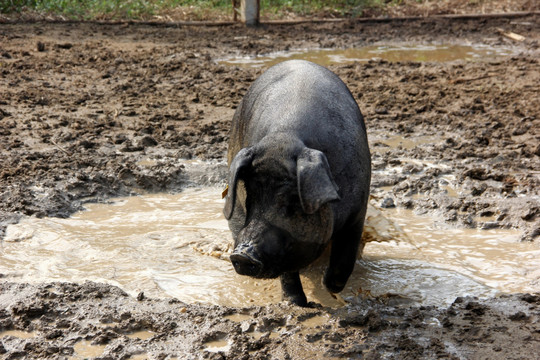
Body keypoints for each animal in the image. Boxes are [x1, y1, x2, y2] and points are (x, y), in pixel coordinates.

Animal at [224, 59, 372, 306]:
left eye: (292, 200)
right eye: (251, 193)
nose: (243, 255)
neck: (284, 138)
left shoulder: (358, 210)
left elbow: (345, 257)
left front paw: (329, 288)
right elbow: (288, 271)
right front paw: (297, 304)